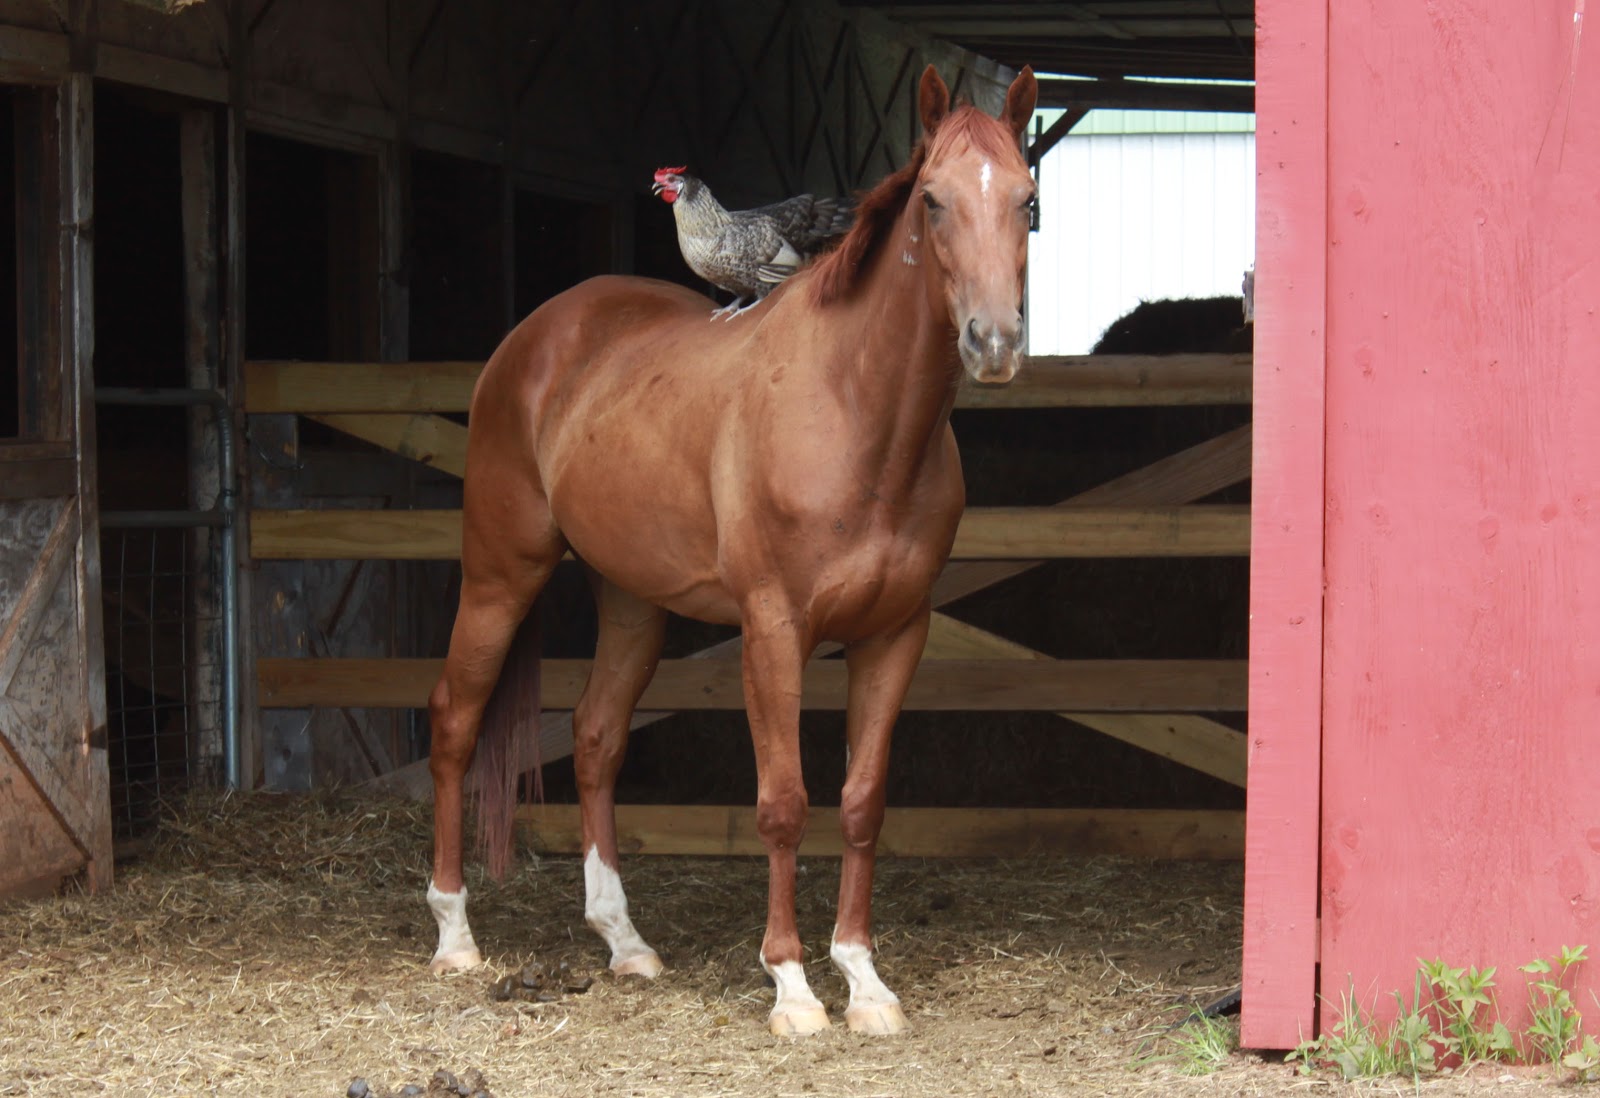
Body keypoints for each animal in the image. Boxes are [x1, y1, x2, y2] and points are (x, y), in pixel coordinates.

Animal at [424, 63, 1038, 1037]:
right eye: (935, 201)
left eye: (1029, 200)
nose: (995, 343)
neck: (855, 409)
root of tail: (537, 336)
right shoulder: (773, 632)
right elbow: (783, 805)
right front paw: (792, 986)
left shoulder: (894, 635)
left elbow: (861, 803)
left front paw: (864, 980)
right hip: (500, 570)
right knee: (454, 721)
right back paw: (454, 936)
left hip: (632, 600)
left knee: (596, 740)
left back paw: (625, 941)